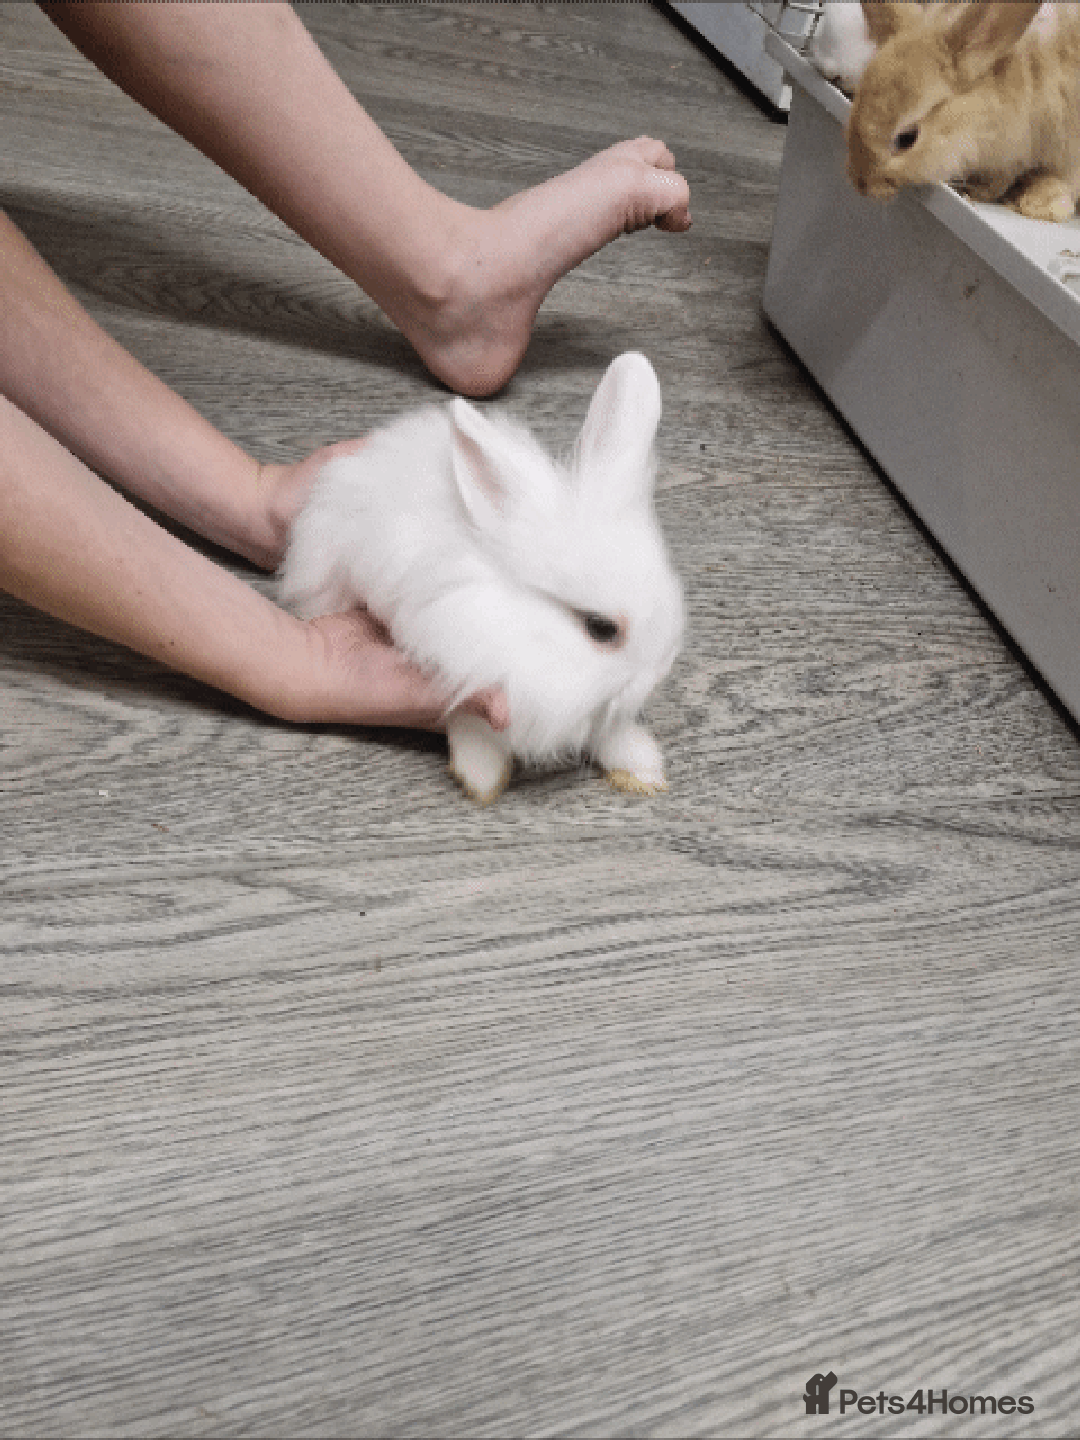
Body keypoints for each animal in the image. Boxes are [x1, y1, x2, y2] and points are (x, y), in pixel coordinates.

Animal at [280, 352, 685, 804]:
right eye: (601, 628)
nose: (660, 671)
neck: (523, 627)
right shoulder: (461, 663)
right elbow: (469, 720)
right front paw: (482, 776)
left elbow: (609, 729)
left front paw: (640, 769)